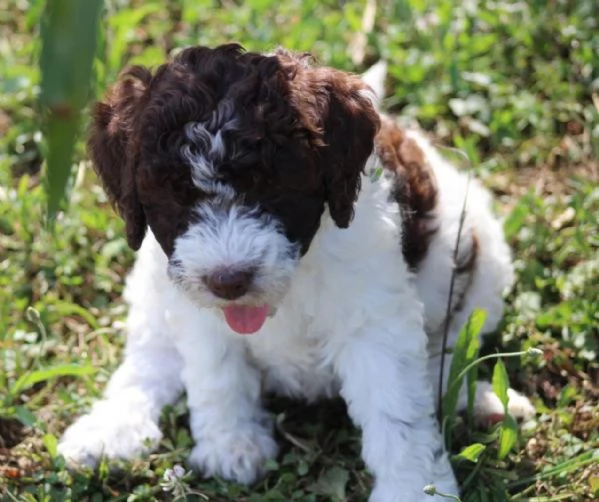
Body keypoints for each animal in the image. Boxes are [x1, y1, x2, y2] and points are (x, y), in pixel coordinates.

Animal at [57, 45, 536, 500]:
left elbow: (395, 406)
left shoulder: (374, 320)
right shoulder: (194, 302)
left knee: (448, 352)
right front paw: (232, 444)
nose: (228, 281)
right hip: (152, 286)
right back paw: (110, 428)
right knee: (150, 358)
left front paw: (412, 489)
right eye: (176, 196)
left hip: (483, 266)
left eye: (273, 188)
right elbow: (216, 372)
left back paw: (482, 401)